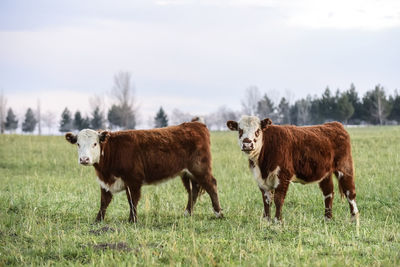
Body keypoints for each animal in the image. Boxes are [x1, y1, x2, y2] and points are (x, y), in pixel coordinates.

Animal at [64, 123, 223, 224]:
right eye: (78, 144)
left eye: (95, 144)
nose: (84, 159)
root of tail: (196, 124)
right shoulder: (105, 182)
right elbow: (104, 202)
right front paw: (98, 220)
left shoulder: (133, 180)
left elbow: (132, 201)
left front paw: (132, 220)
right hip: (186, 173)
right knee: (193, 190)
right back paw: (187, 213)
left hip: (200, 169)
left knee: (211, 185)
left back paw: (218, 213)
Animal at [227, 116, 360, 223]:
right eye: (240, 130)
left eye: (258, 131)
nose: (247, 144)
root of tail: (334, 124)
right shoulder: (260, 179)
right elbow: (266, 200)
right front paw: (266, 220)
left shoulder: (283, 175)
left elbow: (278, 199)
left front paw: (277, 221)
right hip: (325, 173)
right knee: (328, 193)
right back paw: (327, 218)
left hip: (345, 167)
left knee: (350, 192)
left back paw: (354, 218)